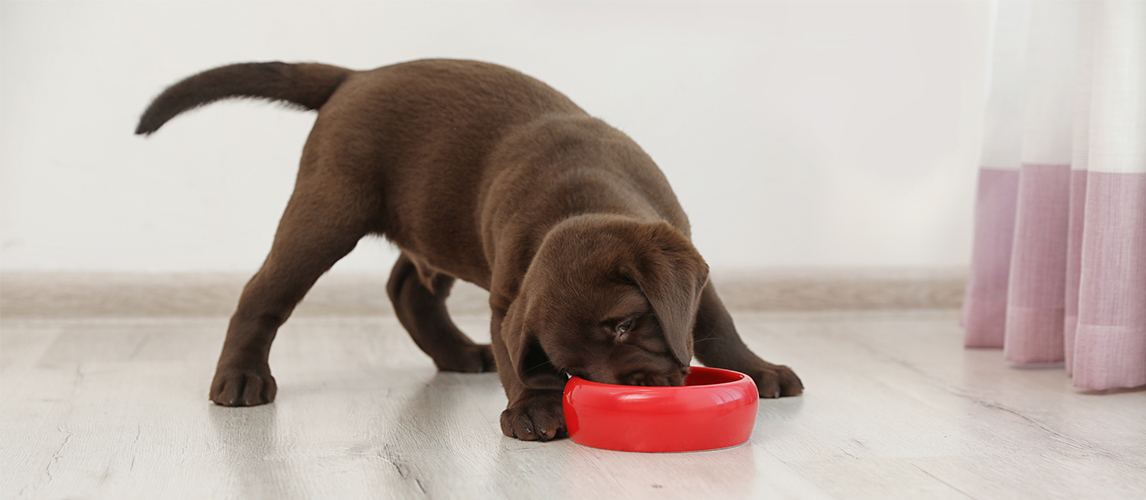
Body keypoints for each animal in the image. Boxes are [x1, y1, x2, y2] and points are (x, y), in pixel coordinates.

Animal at [136, 59, 797, 440]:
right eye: (573, 370)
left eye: (624, 324)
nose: (633, 390)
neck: (579, 195)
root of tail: (356, 76)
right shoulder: (509, 300)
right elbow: (515, 360)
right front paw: (534, 407)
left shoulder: (685, 258)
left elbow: (715, 324)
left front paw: (761, 369)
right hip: (328, 209)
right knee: (263, 293)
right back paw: (241, 377)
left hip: (430, 222)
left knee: (407, 288)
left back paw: (456, 354)